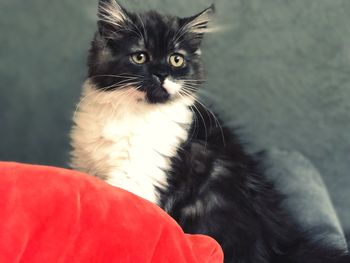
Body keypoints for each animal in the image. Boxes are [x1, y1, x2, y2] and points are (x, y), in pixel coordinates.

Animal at [69, 1, 348, 262]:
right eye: (140, 57)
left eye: (176, 59)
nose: (161, 74)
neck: (132, 113)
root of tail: (279, 245)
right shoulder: (87, 163)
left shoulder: (140, 176)